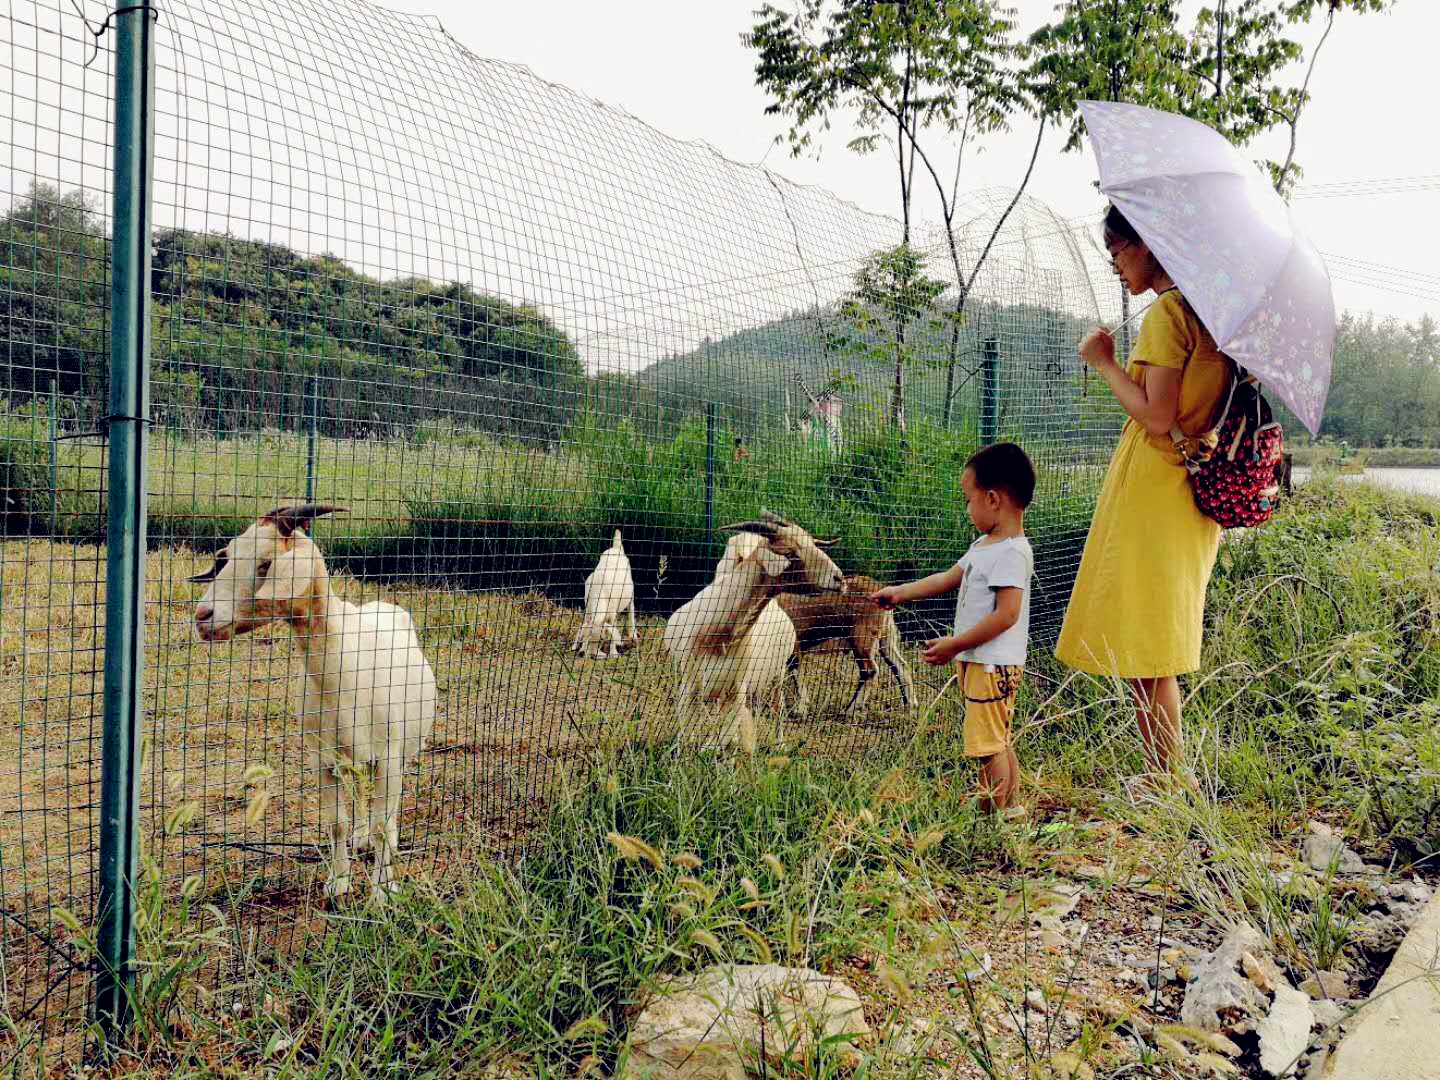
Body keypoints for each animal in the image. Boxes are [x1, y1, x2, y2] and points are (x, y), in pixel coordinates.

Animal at [191, 506, 437, 904]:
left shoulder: (388, 755)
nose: (203, 617)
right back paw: (361, 840)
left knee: (388, 813)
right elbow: (336, 823)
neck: (342, 662)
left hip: (401, 751)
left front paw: (383, 891)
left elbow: (383, 824)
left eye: (266, 564)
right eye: (226, 558)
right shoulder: (324, 760)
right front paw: (338, 883)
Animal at [570, 529, 639, 659]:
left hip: (630, 592)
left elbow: (612, 633)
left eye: (601, 640)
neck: (600, 592)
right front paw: (580, 648)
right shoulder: (588, 609)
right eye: (585, 638)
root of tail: (616, 549)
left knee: (631, 609)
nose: (583, 654)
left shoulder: (612, 614)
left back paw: (633, 634)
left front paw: (613, 653)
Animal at [662, 512, 840, 754]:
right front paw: (680, 749)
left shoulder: (739, 685)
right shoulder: (690, 678)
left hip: (778, 674)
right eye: (791, 553)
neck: (719, 633)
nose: (839, 579)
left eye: (813, 545)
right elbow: (685, 719)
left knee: (777, 706)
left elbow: (724, 731)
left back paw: (779, 743)